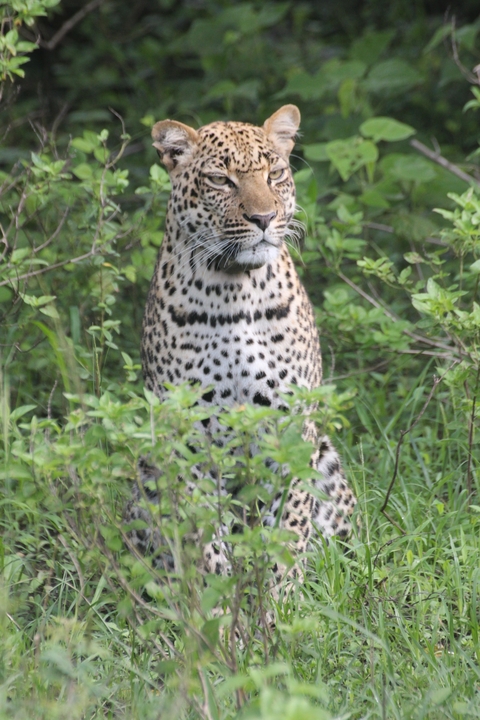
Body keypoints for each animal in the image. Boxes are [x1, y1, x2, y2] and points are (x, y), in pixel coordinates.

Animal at [128, 104, 357, 592]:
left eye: (275, 173)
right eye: (221, 180)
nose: (264, 218)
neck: (234, 291)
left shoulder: (292, 426)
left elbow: (287, 527)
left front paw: (279, 602)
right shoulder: (187, 435)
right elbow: (203, 537)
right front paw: (217, 602)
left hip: (327, 458)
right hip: (146, 470)